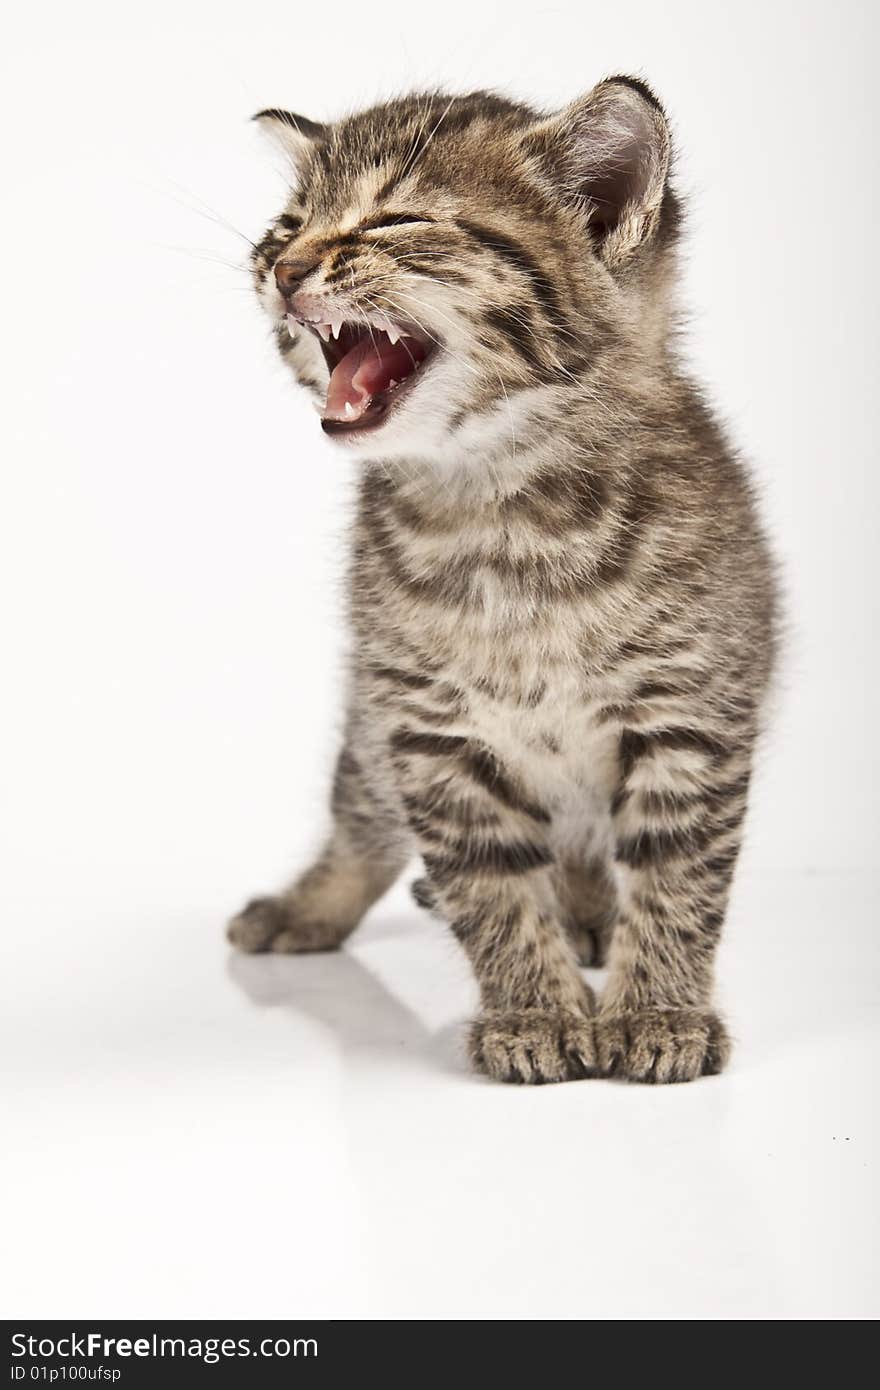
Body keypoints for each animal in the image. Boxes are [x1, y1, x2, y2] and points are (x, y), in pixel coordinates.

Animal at [226, 78, 772, 1084]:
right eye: (286, 224)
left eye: (396, 219)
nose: (283, 267)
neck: (503, 508)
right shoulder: (429, 734)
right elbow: (490, 888)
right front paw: (535, 1013)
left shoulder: (691, 715)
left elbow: (677, 876)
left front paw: (659, 1011)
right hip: (371, 735)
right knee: (361, 824)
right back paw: (307, 905)